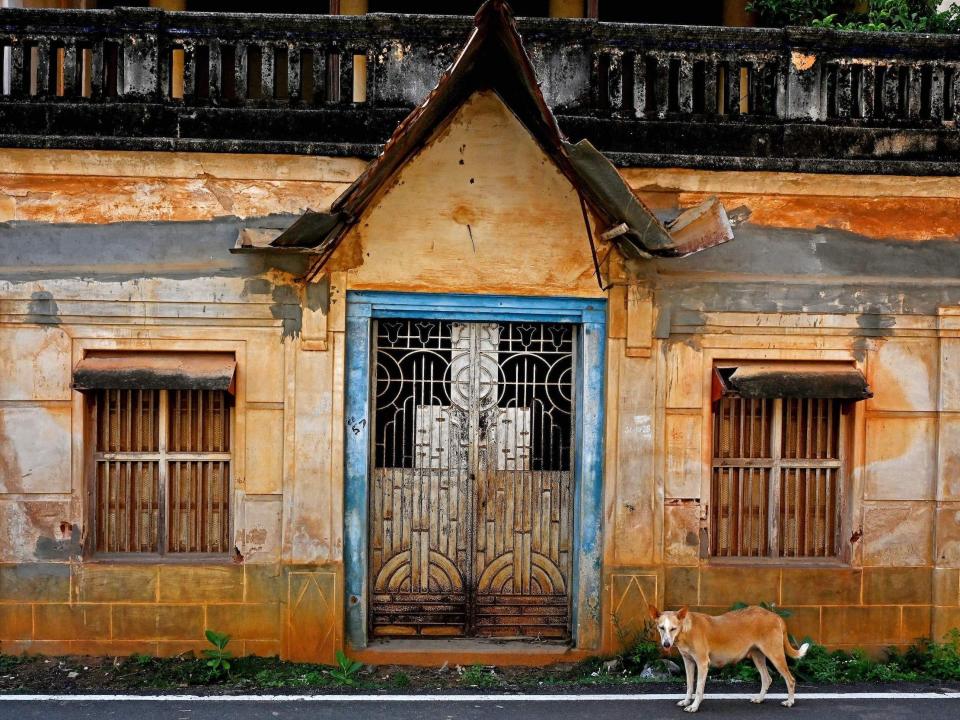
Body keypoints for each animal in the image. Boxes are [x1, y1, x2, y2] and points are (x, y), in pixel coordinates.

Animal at [652, 604, 808, 712]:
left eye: (673, 628)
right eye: (661, 628)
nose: (666, 644)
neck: (686, 629)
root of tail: (775, 615)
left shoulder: (702, 663)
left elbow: (698, 689)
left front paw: (694, 706)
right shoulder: (688, 662)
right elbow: (690, 685)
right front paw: (686, 701)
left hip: (775, 656)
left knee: (790, 679)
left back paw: (790, 702)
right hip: (757, 656)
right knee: (767, 679)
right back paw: (759, 699)